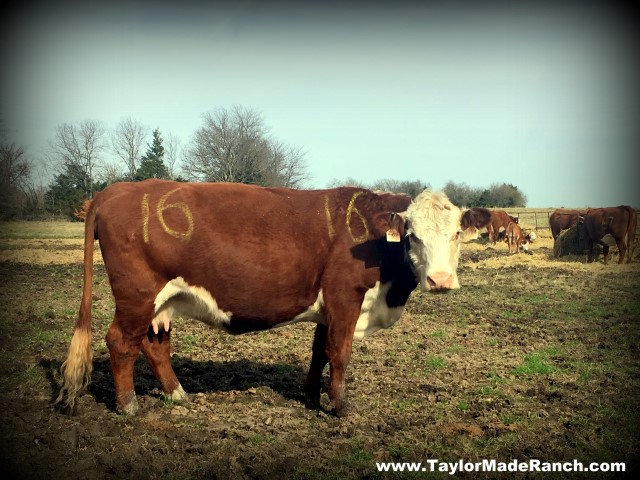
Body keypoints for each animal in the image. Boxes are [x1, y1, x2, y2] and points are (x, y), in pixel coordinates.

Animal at [58, 180, 490, 416]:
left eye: (456, 234)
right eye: (412, 235)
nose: (440, 279)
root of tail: (119, 189)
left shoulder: (327, 309)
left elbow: (320, 352)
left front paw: (310, 396)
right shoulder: (345, 298)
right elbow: (340, 353)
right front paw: (341, 406)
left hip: (160, 301)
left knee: (153, 344)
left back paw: (177, 394)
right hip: (137, 294)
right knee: (120, 342)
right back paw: (129, 405)